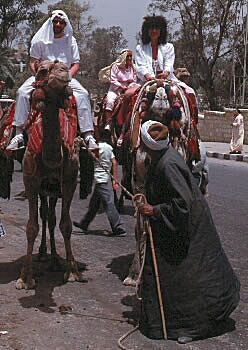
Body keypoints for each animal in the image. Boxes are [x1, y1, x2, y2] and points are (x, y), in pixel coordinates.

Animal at [15, 60, 83, 290]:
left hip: (53, 189)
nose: (62, 73)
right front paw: (25, 277)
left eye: (64, 66)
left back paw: (53, 260)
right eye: (43, 71)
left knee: (51, 218)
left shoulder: (69, 181)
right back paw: (44, 254)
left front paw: (72, 272)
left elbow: (66, 224)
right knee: (45, 216)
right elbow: (31, 227)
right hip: (44, 189)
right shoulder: (30, 181)